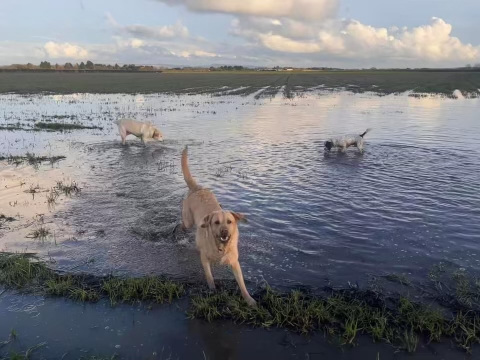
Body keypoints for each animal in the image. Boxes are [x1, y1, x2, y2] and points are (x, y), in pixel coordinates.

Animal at [180, 146, 256, 306]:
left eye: (229, 221)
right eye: (216, 222)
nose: (224, 231)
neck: (220, 247)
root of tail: (197, 187)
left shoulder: (234, 262)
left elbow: (242, 283)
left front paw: (249, 299)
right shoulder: (204, 259)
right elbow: (209, 276)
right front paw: (212, 289)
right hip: (188, 220)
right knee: (183, 224)